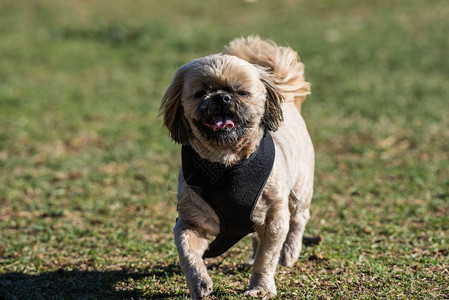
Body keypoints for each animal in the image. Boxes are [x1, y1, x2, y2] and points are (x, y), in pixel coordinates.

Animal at [160, 36, 312, 298]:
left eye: (242, 92)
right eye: (201, 93)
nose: (222, 97)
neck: (226, 162)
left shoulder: (274, 219)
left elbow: (267, 258)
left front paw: (261, 288)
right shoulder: (189, 220)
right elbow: (187, 252)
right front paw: (199, 283)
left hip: (299, 191)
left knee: (299, 219)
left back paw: (289, 252)